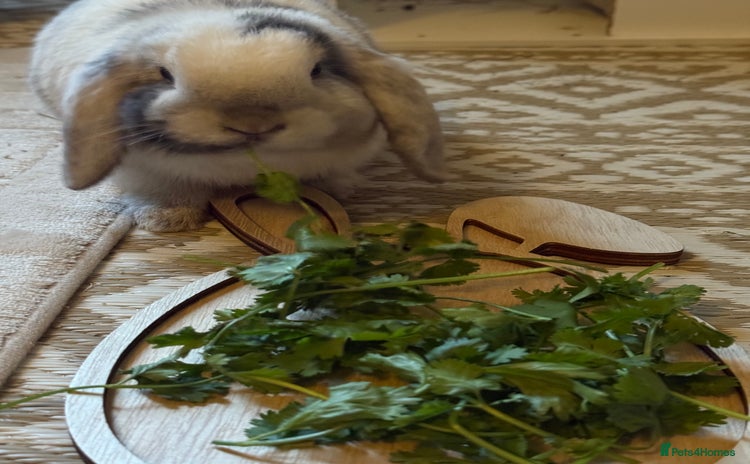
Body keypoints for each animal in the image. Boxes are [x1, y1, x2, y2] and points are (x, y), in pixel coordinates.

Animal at [29, 0, 445, 232]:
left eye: (317, 70)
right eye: (165, 75)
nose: (252, 124)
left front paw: (333, 194)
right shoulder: (146, 172)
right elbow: (167, 191)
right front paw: (166, 223)